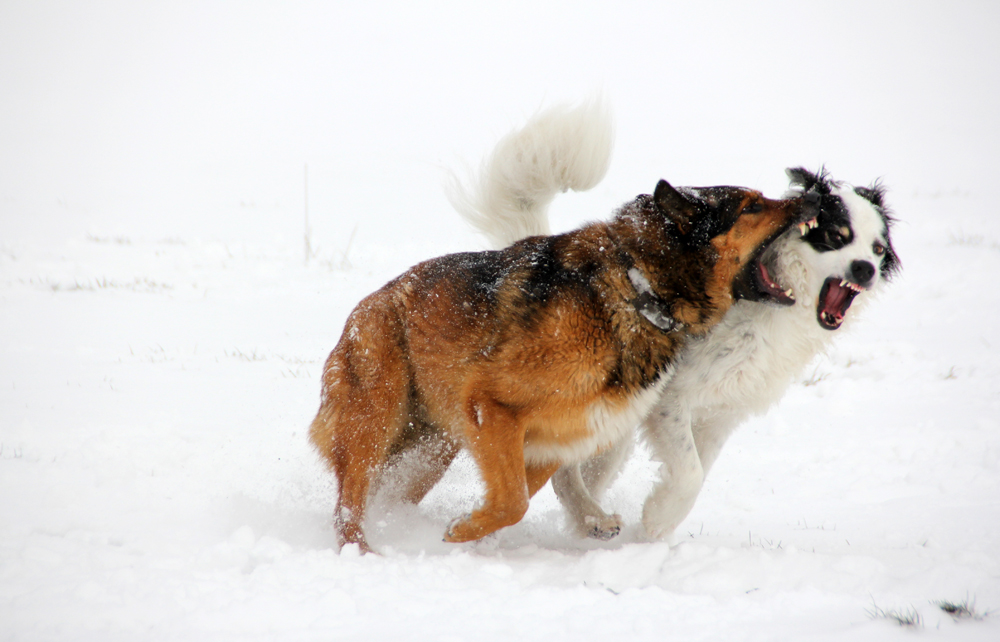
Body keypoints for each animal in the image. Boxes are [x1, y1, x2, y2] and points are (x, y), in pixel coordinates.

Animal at [310, 180, 812, 552]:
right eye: (751, 205)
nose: (811, 198)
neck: (640, 289)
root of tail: (368, 305)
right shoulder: (491, 404)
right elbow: (513, 501)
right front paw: (464, 530)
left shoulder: (555, 438)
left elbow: (522, 493)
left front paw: (472, 529)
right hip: (377, 415)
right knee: (348, 502)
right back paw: (361, 550)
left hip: (428, 449)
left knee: (388, 494)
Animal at [448, 100, 900, 540]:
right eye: (836, 236)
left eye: (878, 248)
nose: (864, 270)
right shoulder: (669, 401)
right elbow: (690, 471)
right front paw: (658, 518)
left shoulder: (723, 412)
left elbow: (701, 468)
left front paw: (660, 529)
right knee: (564, 472)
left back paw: (590, 522)